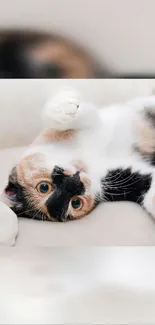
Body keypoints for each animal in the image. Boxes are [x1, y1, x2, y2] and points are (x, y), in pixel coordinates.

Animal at [2, 90, 155, 221]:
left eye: (44, 187)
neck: (88, 159)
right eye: (75, 203)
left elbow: (58, 118)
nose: (75, 183)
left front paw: (64, 109)